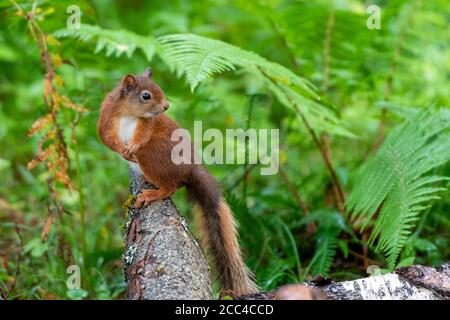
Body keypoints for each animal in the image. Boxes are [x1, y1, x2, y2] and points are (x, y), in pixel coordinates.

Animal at [97, 67, 260, 296]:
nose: (166, 106)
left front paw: (132, 147)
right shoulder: (106, 117)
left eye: (160, 88)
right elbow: (106, 137)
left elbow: (142, 135)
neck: (130, 113)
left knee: (170, 187)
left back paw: (153, 192)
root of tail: (189, 169)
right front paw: (121, 149)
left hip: (152, 153)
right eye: (146, 95)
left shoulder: (147, 126)